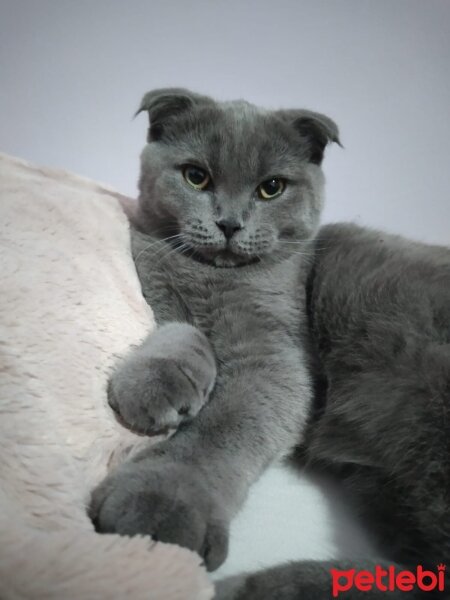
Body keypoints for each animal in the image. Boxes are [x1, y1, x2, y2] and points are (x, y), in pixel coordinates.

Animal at [89, 90, 450, 600]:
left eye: (271, 188)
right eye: (196, 176)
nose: (229, 224)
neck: (214, 278)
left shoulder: (278, 357)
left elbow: (222, 428)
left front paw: (160, 502)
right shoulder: (153, 283)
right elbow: (181, 330)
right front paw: (160, 386)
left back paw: (266, 586)